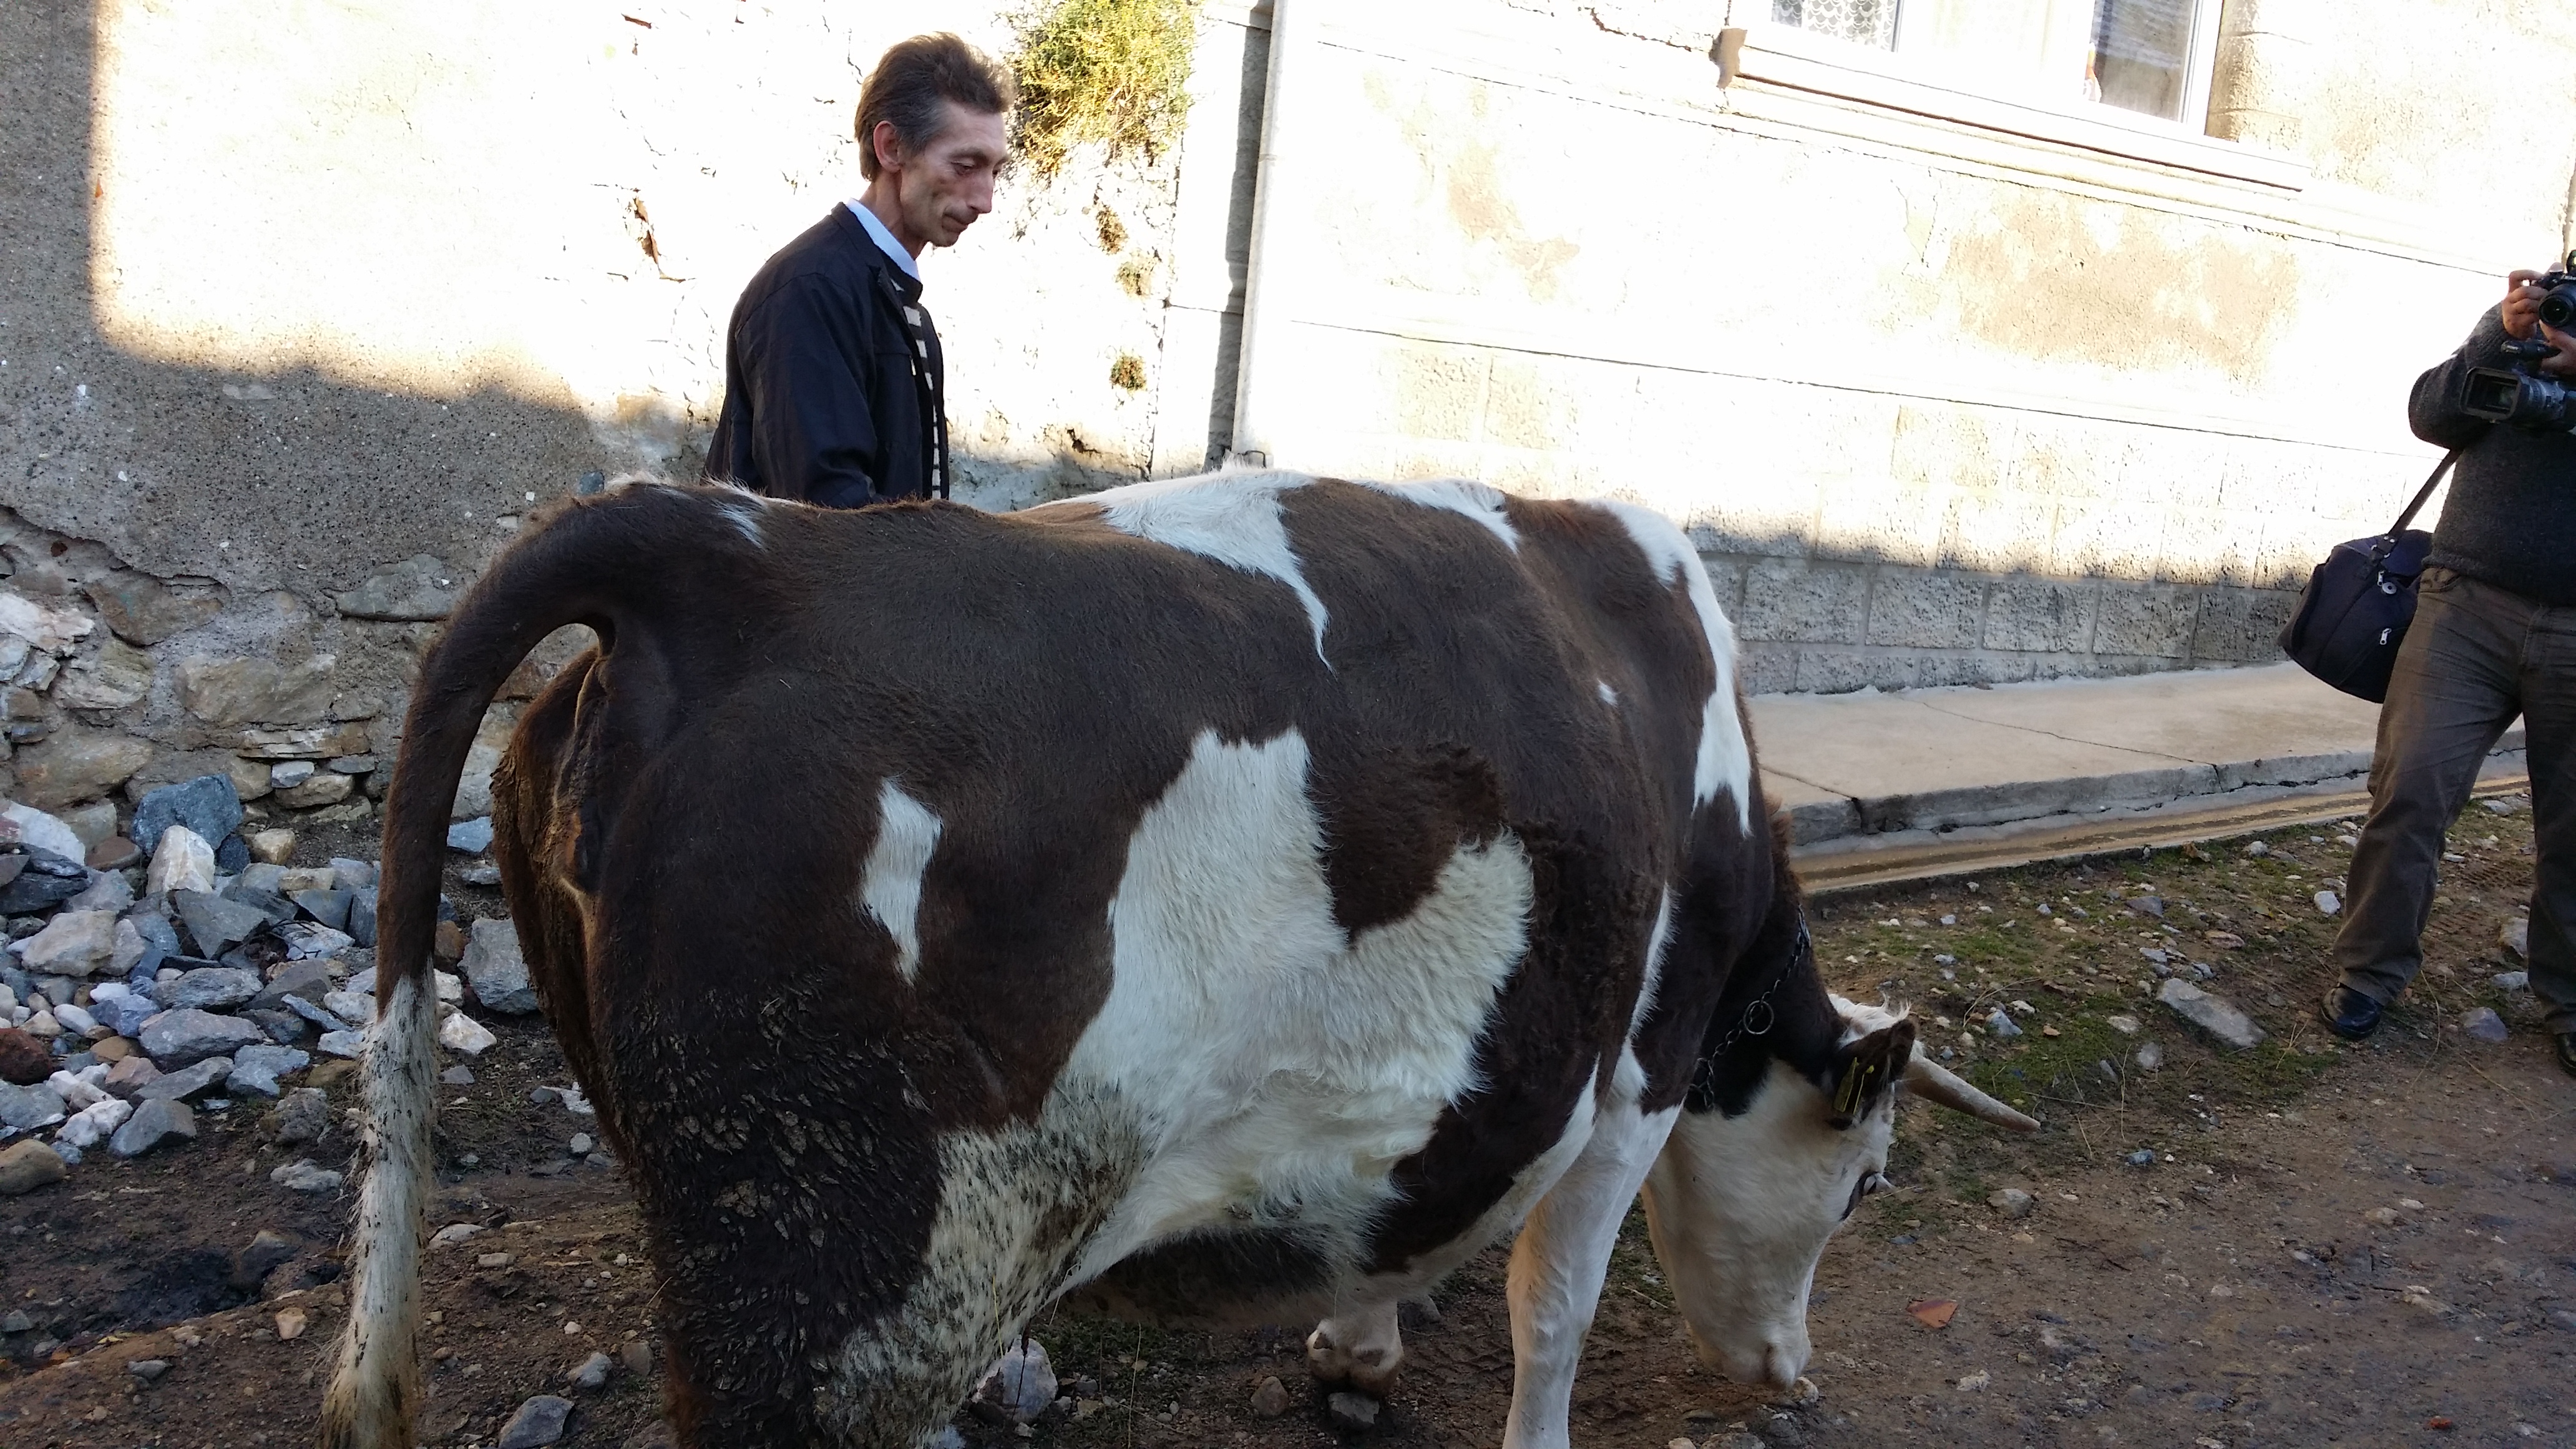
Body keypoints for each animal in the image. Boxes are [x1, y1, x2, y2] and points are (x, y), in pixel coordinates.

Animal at [320, 470, 2035, 1449]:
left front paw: (1356, 1349)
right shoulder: (1634, 1074)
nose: (1788, 1371)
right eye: (1864, 1182)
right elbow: (1552, 1306)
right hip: (829, 1280)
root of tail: (726, 542)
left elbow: (1405, 1225)